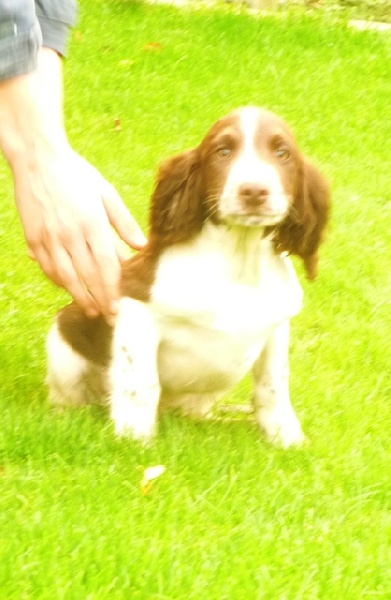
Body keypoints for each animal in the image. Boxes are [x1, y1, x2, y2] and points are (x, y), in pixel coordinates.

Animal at [46, 105, 330, 448]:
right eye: (223, 151)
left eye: (282, 153)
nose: (253, 191)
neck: (238, 260)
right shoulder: (137, 309)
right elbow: (142, 383)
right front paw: (135, 439)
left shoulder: (276, 327)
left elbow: (273, 386)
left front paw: (286, 438)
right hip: (63, 350)